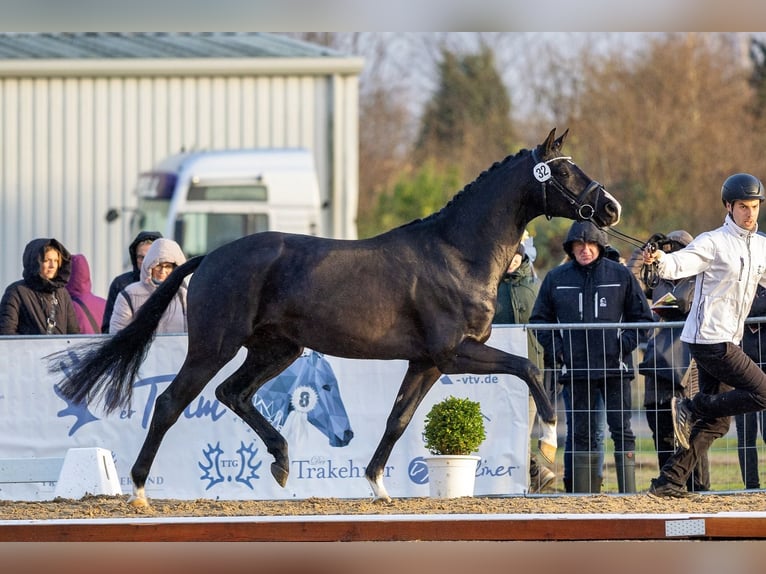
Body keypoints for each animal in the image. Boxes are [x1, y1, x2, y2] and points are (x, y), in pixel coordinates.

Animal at [49, 128, 624, 506]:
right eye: (565, 170)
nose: (611, 209)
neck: (457, 252)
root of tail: (208, 257)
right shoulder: (454, 351)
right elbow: (527, 368)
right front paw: (548, 438)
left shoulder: (427, 362)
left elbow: (398, 419)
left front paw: (378, 485)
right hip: (214, 346)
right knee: (172, 402)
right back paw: (140, 491)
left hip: (278, 348)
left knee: (233, 393)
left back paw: (282, 463)